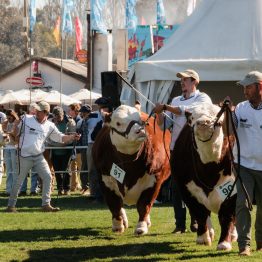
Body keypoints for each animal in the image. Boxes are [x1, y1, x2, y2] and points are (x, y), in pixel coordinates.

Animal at [93, 105, 171, 235]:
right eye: (118, 123)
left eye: (140, 120)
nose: (140, 130)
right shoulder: (104, 179)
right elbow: (114, 204)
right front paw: (117, 225)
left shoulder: (155, 179)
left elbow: (144, 205)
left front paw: (141, 227)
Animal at [173, 103, 236, 251]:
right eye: (193, 118)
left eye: (218, 120)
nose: (203, 123)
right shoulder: (186, 190)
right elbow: (199, 213)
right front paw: (202, 238)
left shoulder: (233, 188)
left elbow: (227, 215)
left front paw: (224, 242)